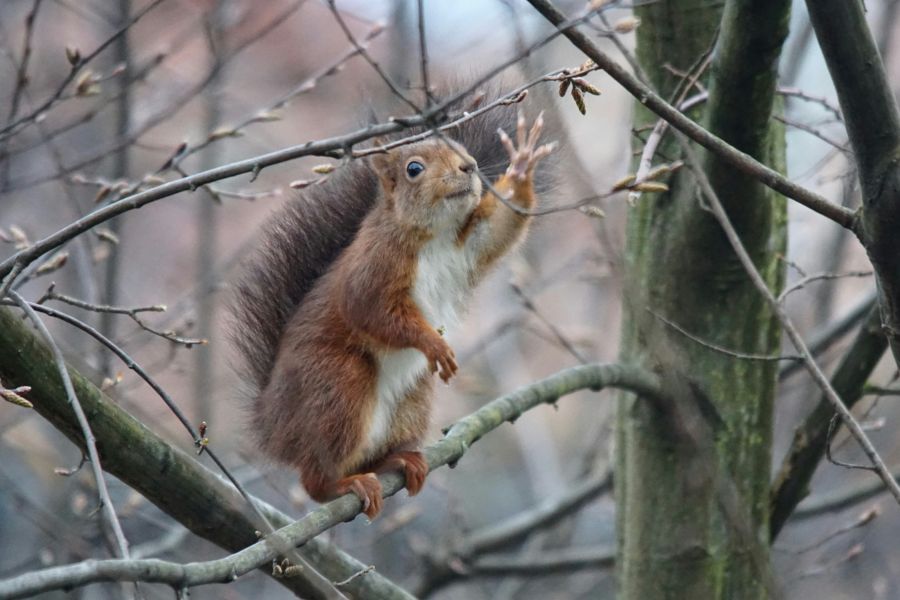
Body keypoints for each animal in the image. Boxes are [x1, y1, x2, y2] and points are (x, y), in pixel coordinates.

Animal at [230, 105, 556, 516]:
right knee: (315, 479)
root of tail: (273, 427)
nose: (469, 167)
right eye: (414, 168)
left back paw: (398, 460)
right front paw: (432, 343)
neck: (435, 235)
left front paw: (522, 166)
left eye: (463, 149)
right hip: (339, 385)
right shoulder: (374, 267)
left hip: (412, 400)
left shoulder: (471, 242)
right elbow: (372, 310)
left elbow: (500, 229)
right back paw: (343, 484)